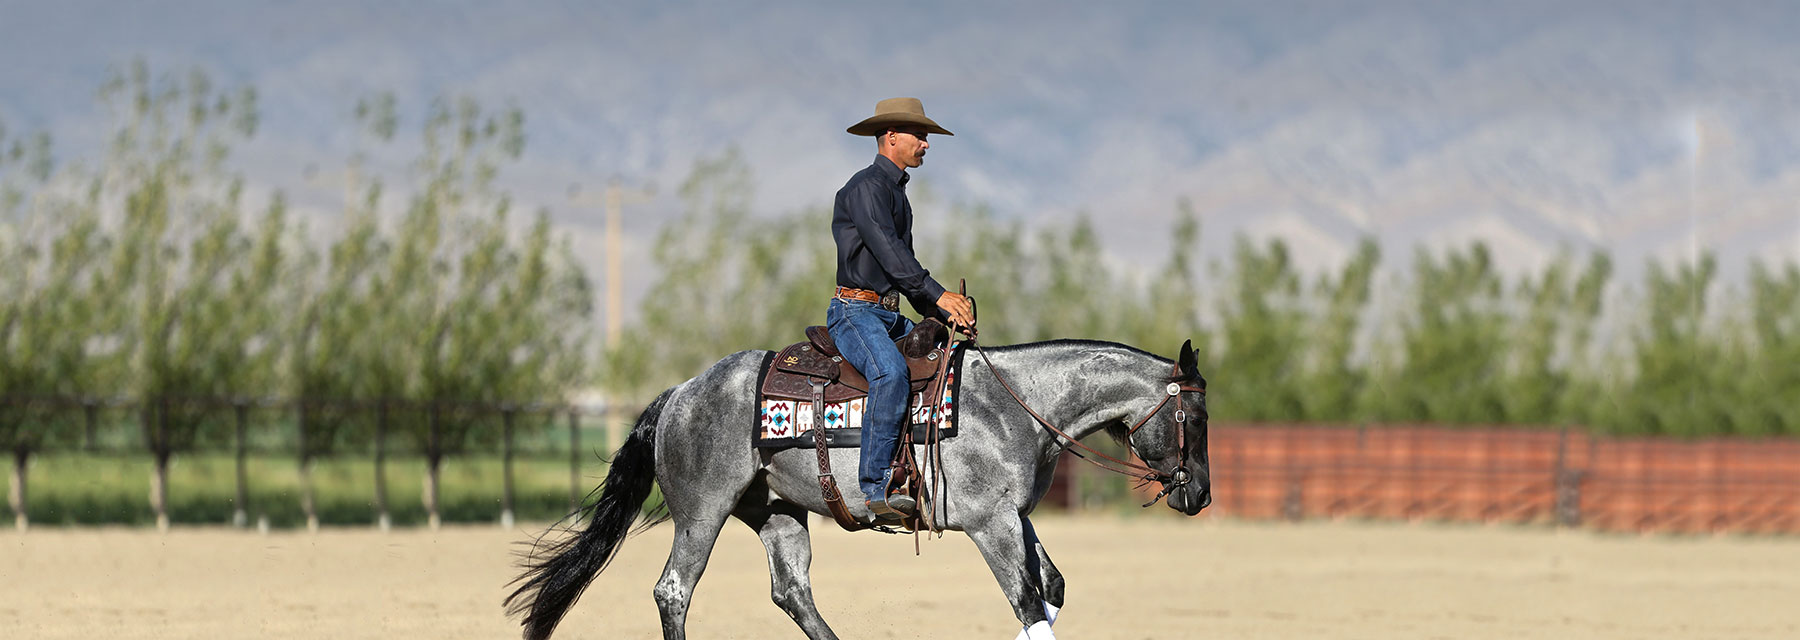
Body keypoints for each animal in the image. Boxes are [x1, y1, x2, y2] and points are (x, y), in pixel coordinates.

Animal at [507, 337, 1211, 640]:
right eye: (1197, 417)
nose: (1200, 495)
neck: (1013, 404)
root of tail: (679, 394)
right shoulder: (991, 525)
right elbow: (1029, 603)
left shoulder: (1016, 517)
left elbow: (1053, 588)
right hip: (701, 513)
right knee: (673, 590)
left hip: (779, 514)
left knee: (792, 592)